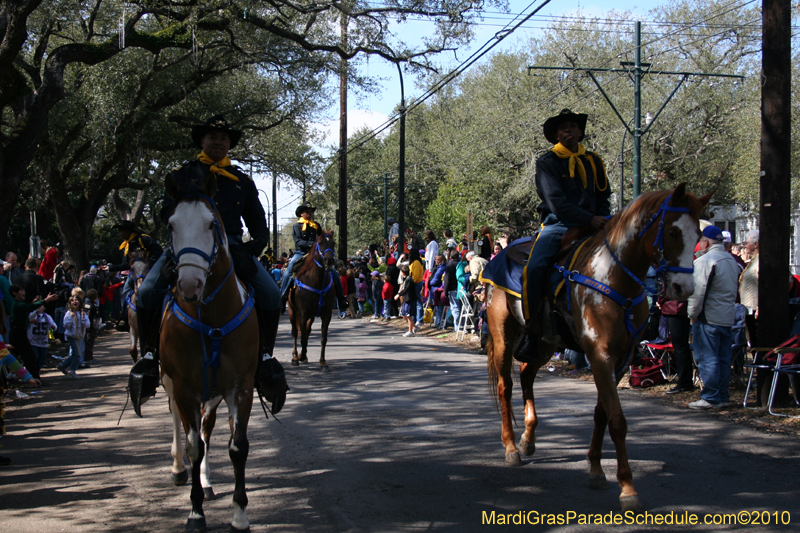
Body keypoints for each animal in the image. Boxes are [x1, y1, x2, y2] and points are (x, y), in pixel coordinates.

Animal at [159, 175, 262, 532]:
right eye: (171, 224)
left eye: (211, 224)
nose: (190, 285)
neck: (213, 317)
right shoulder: (184, 387)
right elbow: (193, 447)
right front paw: (195, 513)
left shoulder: (239, 387)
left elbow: (237, 448)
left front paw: (240, 514)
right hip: (171, 384)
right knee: (181, 427)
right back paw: (179, 470)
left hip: (212, 395)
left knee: (204, 430)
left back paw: (204, 482)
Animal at [286, 231, 336, 372]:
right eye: (320, 243)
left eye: (333, 243)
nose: (329, 260)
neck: (317, 281)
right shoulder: (302, 314)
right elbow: (302, 337)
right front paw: (301, 356)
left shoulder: (326, 314)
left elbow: (323, 338)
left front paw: (323, 362)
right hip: (292, 311)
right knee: (295, 332)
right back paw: (295, 357)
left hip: (312, 316)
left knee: (307, 331)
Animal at [484, 184, 708, 512]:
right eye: (673, 232)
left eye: (699, 234)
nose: (685, 289)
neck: (615, 277)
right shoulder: (600, 355)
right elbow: (617, 420)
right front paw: (627, 487)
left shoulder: (621, 359)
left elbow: (602, 413)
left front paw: (595, 469)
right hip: (503, 336)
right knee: (505, 386)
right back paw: (511, 447)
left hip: (544, 343)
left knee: (525, 376)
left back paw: (528, 438)